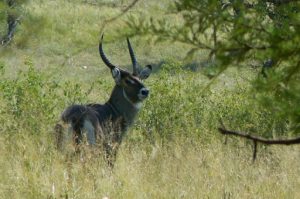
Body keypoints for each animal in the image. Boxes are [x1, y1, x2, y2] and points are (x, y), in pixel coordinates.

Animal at [55, 35, 152, 166]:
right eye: (127, 81)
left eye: (140, 78)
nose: (145, 91)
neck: (113, 110)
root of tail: (76, 117)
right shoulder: (111, 148)